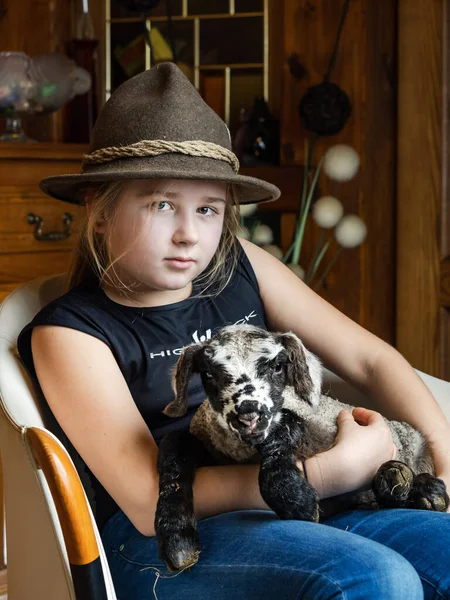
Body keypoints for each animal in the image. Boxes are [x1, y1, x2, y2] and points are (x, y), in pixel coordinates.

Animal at [154, 324, 446, 572]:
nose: (248, 415)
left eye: (277, 366)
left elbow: (283, 427)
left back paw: (420, 488)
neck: (242, 451)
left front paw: (296, 500)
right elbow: (172, 446)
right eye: (208, 374)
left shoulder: (309, 426)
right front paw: (177, 539)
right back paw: (397, 481)